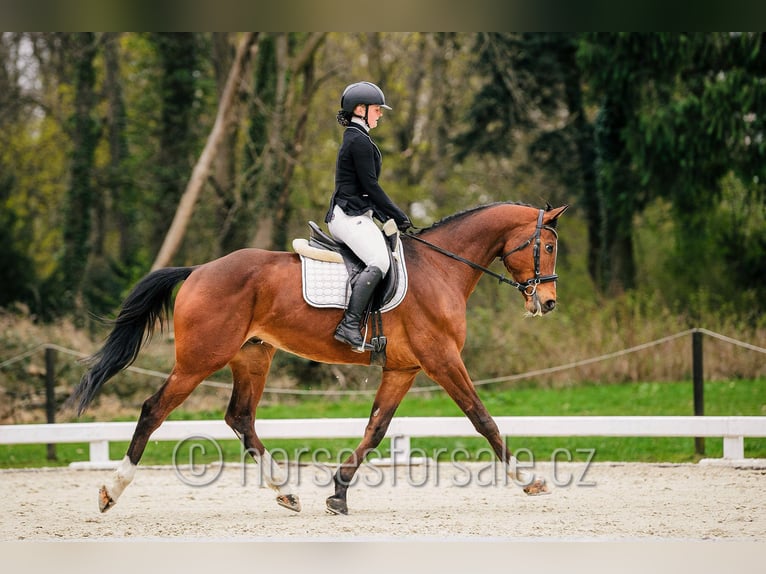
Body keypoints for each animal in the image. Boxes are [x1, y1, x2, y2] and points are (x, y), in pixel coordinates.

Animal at [70, 201, 568, 515]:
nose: (547, 303)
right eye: (546, 246)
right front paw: (529, 479)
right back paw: (111, 491)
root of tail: (199, 270)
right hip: (199, 361)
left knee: (240, 417)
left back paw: (286, 492)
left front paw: (339, 493)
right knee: (154, 409)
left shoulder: (404, 368)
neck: (443, 267)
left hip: (252, 357)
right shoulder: (442, 359)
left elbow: (375, 429)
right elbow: (483, 419)